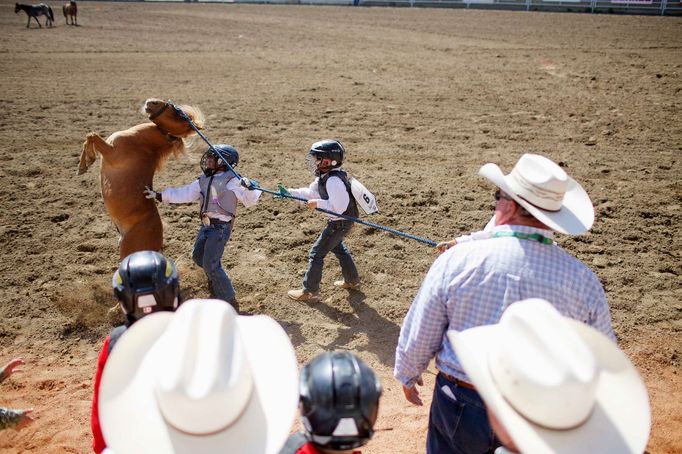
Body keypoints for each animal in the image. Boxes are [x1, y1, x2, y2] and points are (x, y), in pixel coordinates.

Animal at [77, 100, 203, 258]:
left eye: (177, 115)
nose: (152, 102)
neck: (141, 142)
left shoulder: (111, 153)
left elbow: (92, 135)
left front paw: (85, 163)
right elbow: (89, 137)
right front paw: (83, 166)